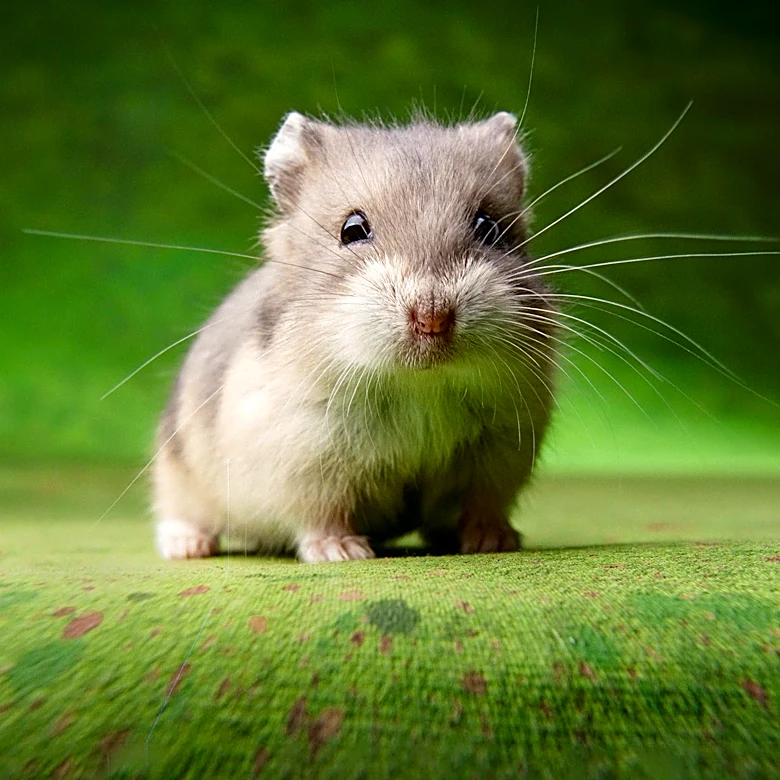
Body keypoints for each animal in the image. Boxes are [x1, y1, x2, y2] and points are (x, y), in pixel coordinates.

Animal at [153, 111, 558, 563]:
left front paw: (494, 543)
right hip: (177, 470)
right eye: (352, 229)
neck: (419, 385)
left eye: (488, 226)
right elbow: (323, 513)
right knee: (180, 512)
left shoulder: (499, 451)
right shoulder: (307, 458)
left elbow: (481, 506)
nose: (432, 318)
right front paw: (343, 553)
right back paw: (187, 547)